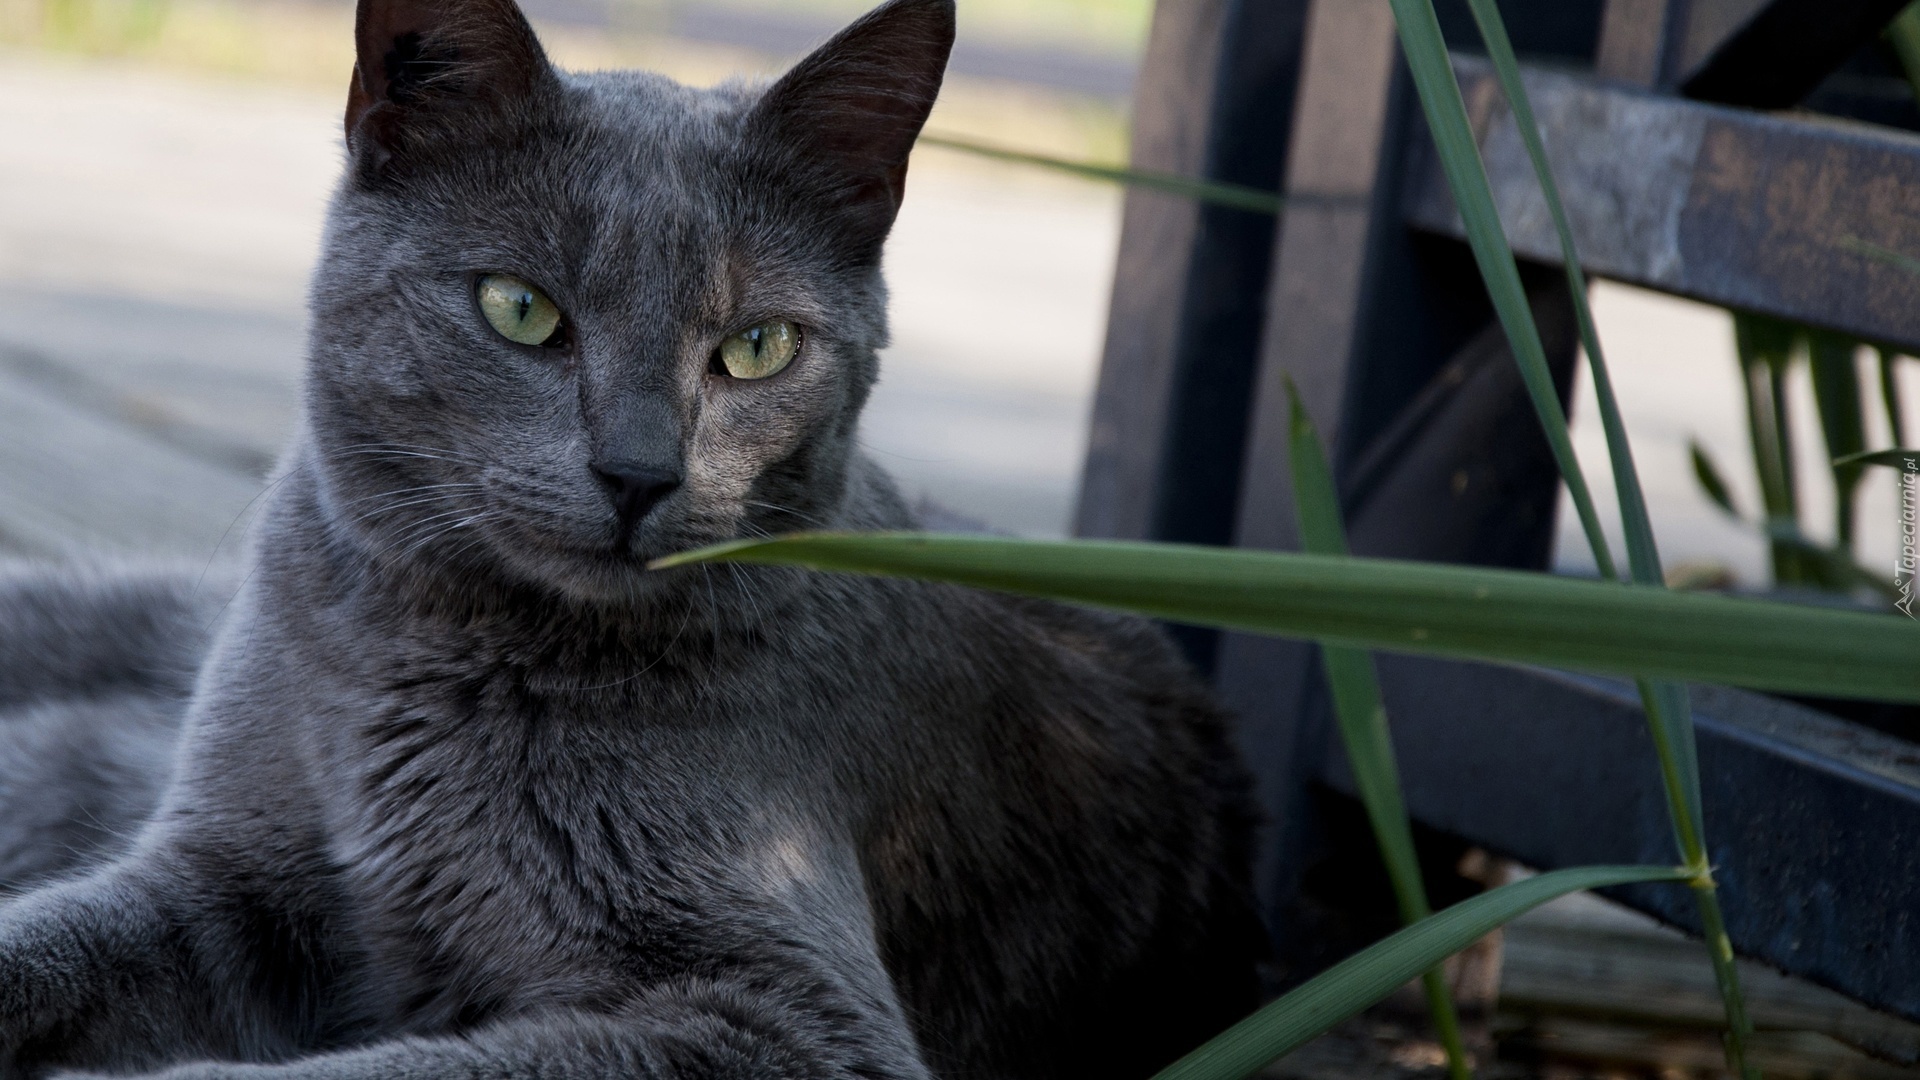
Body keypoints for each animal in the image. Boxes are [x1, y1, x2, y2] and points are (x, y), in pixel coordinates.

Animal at [0, 0, 1259, 1068]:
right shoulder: (225, 873)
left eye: (758, 347)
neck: (437, 663)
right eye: (518, 308)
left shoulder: (794, 1015)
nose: (640, 473)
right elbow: (56, 941)